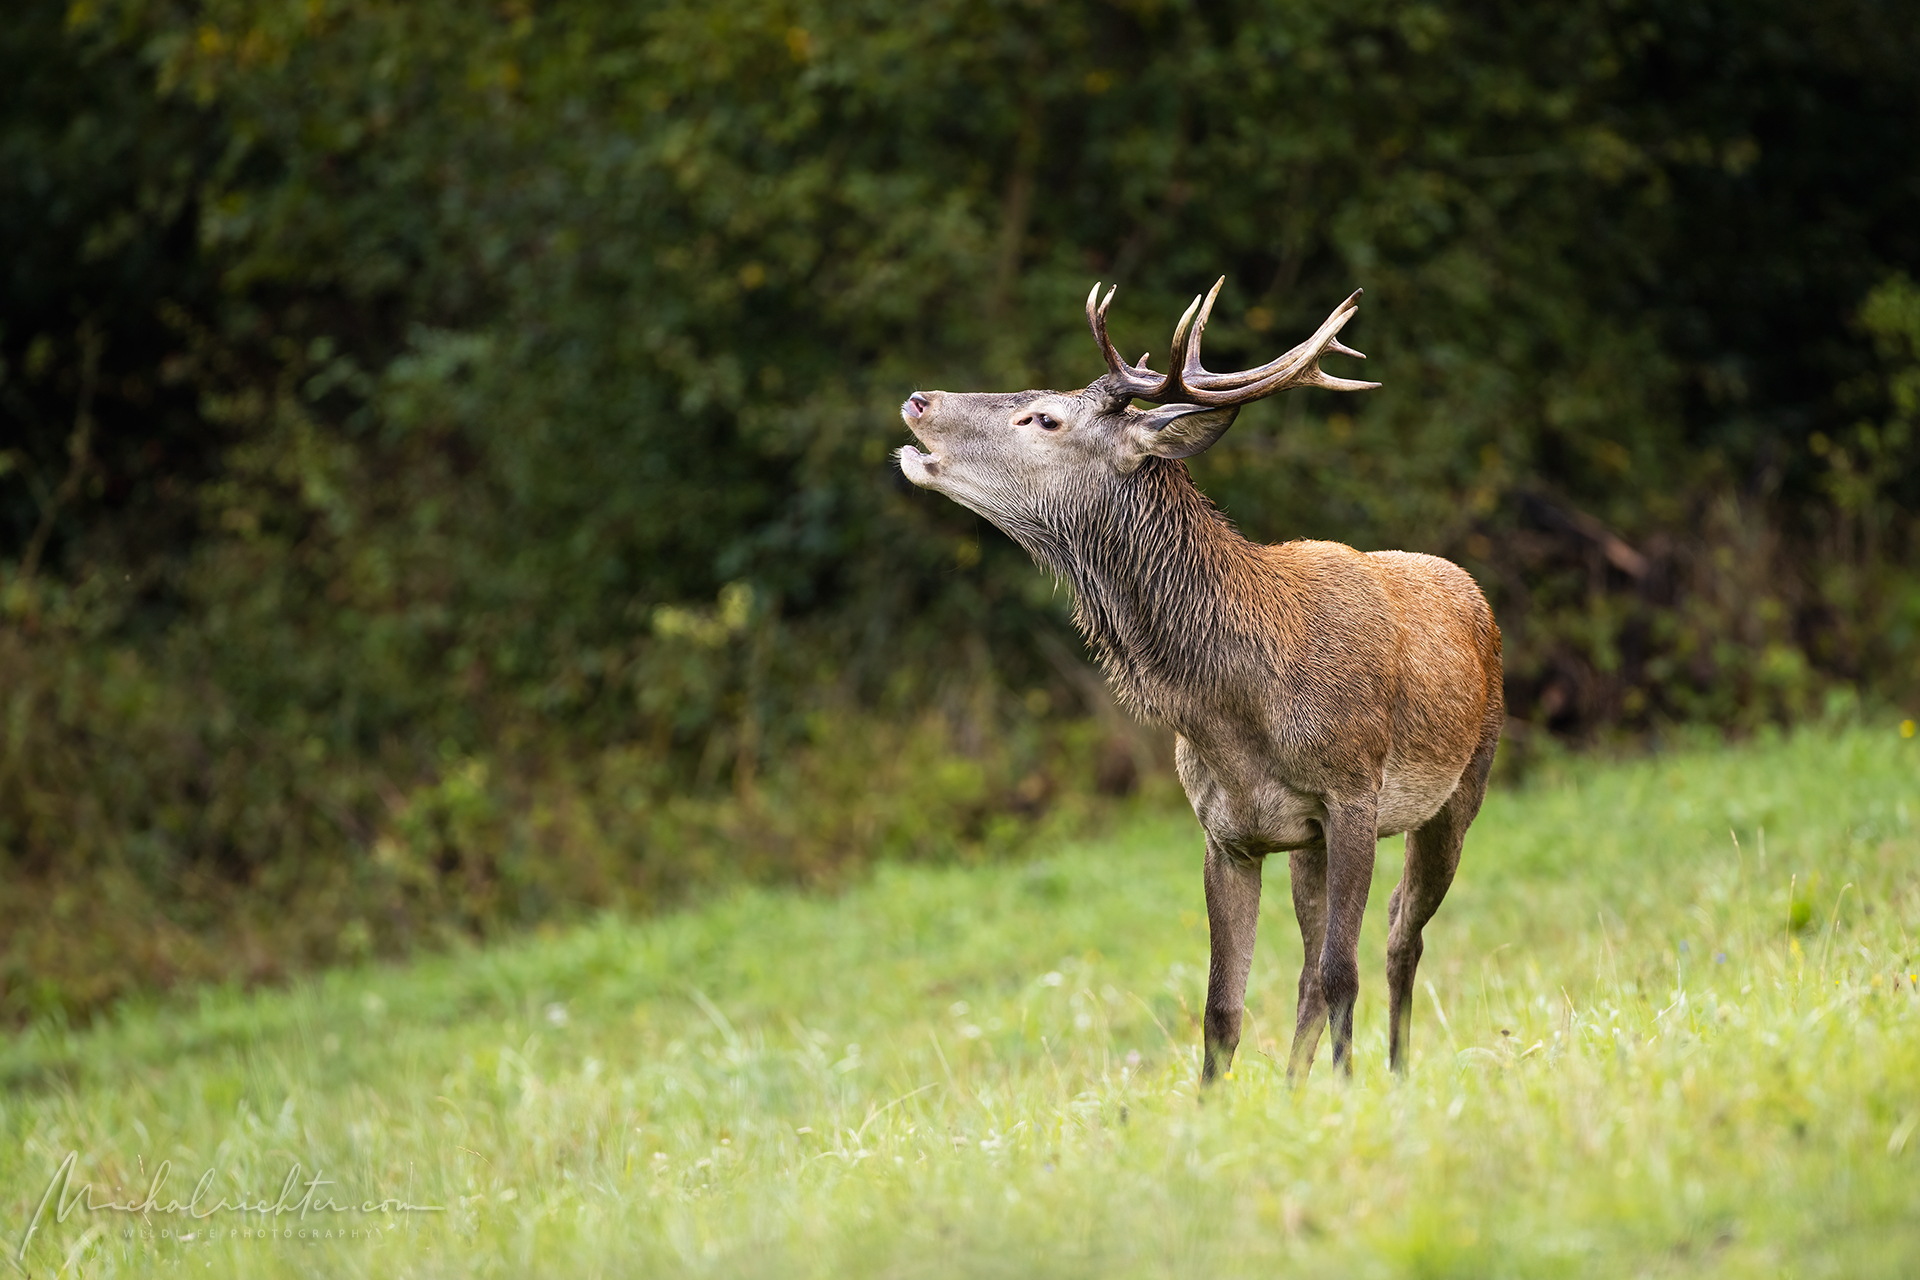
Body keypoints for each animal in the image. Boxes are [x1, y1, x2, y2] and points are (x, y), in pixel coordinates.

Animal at [897, 279, 1503, 1081]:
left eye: (1045, 417)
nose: (917, 399)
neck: (1234, 708)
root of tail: (1472, 589)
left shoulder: (1354, 796)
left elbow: (1343, 973)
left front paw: (1351, 1092)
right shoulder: (1226, 832)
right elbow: (1223, 1009)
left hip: (1461, 789)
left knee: (1401, 931)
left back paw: (1398, 1074)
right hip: (1309, 844)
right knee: (1311, 972)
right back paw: (1295, 1090)